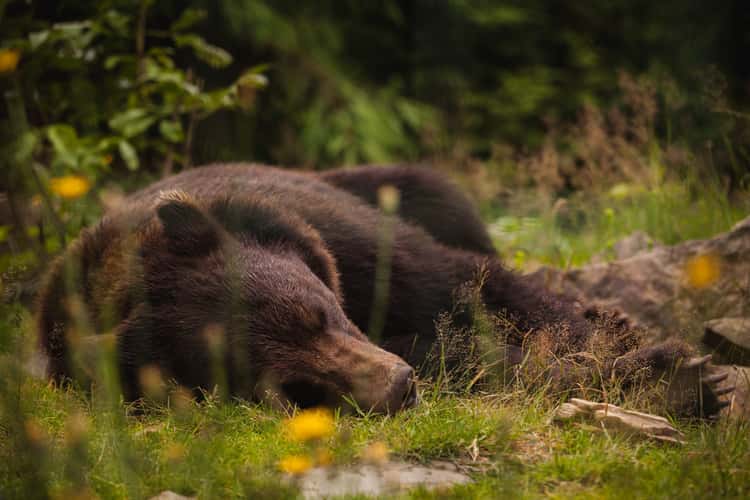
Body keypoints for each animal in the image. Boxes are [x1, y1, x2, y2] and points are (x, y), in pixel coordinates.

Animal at [37, 163, 732, 417]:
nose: (398, 386)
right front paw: (678, 375)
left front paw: (649, 355)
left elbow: (468, 286)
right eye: (289, 387)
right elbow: (468, 356)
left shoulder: (350, 245)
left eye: (318, 312)